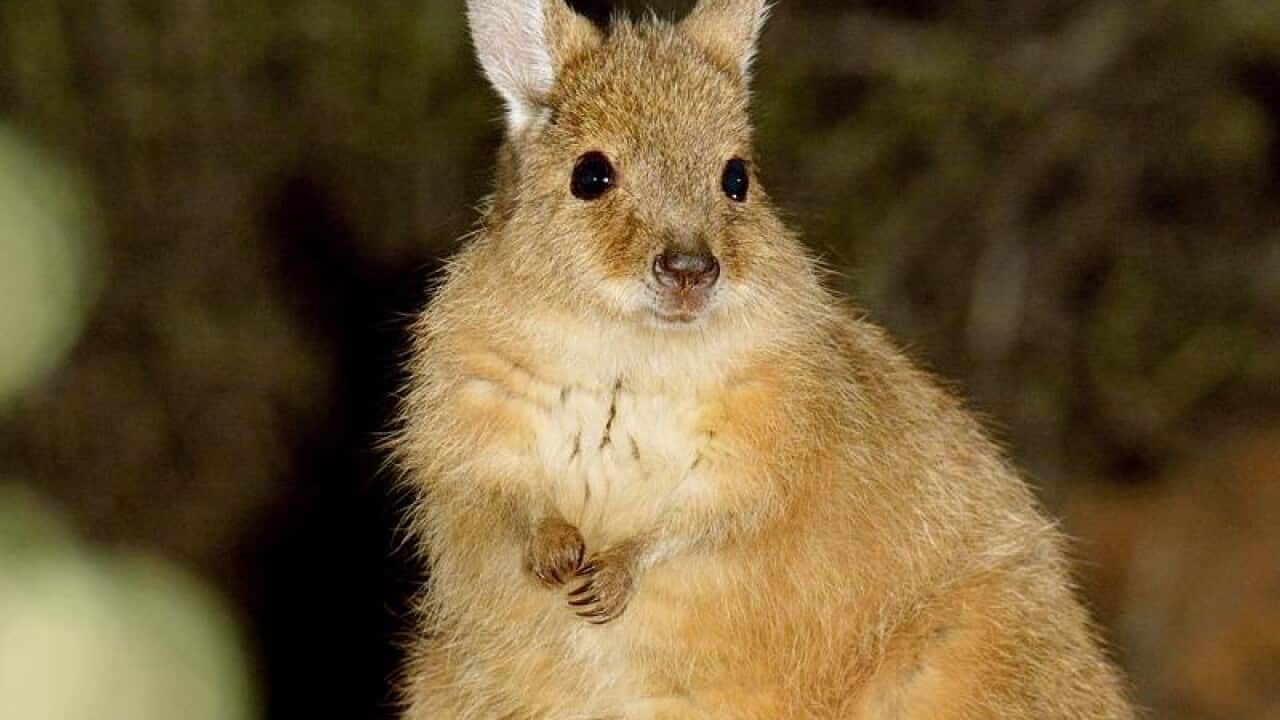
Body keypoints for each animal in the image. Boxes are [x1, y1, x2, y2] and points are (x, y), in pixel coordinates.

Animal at [392, 0, 1134, 717]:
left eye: (736, 178)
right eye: (590, 174)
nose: (690, 271)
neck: (631, 349)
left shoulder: (766, 439)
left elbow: (705, 519)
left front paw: (612, 574)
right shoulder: (473, 417)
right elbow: (503, 497)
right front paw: (555, 554)